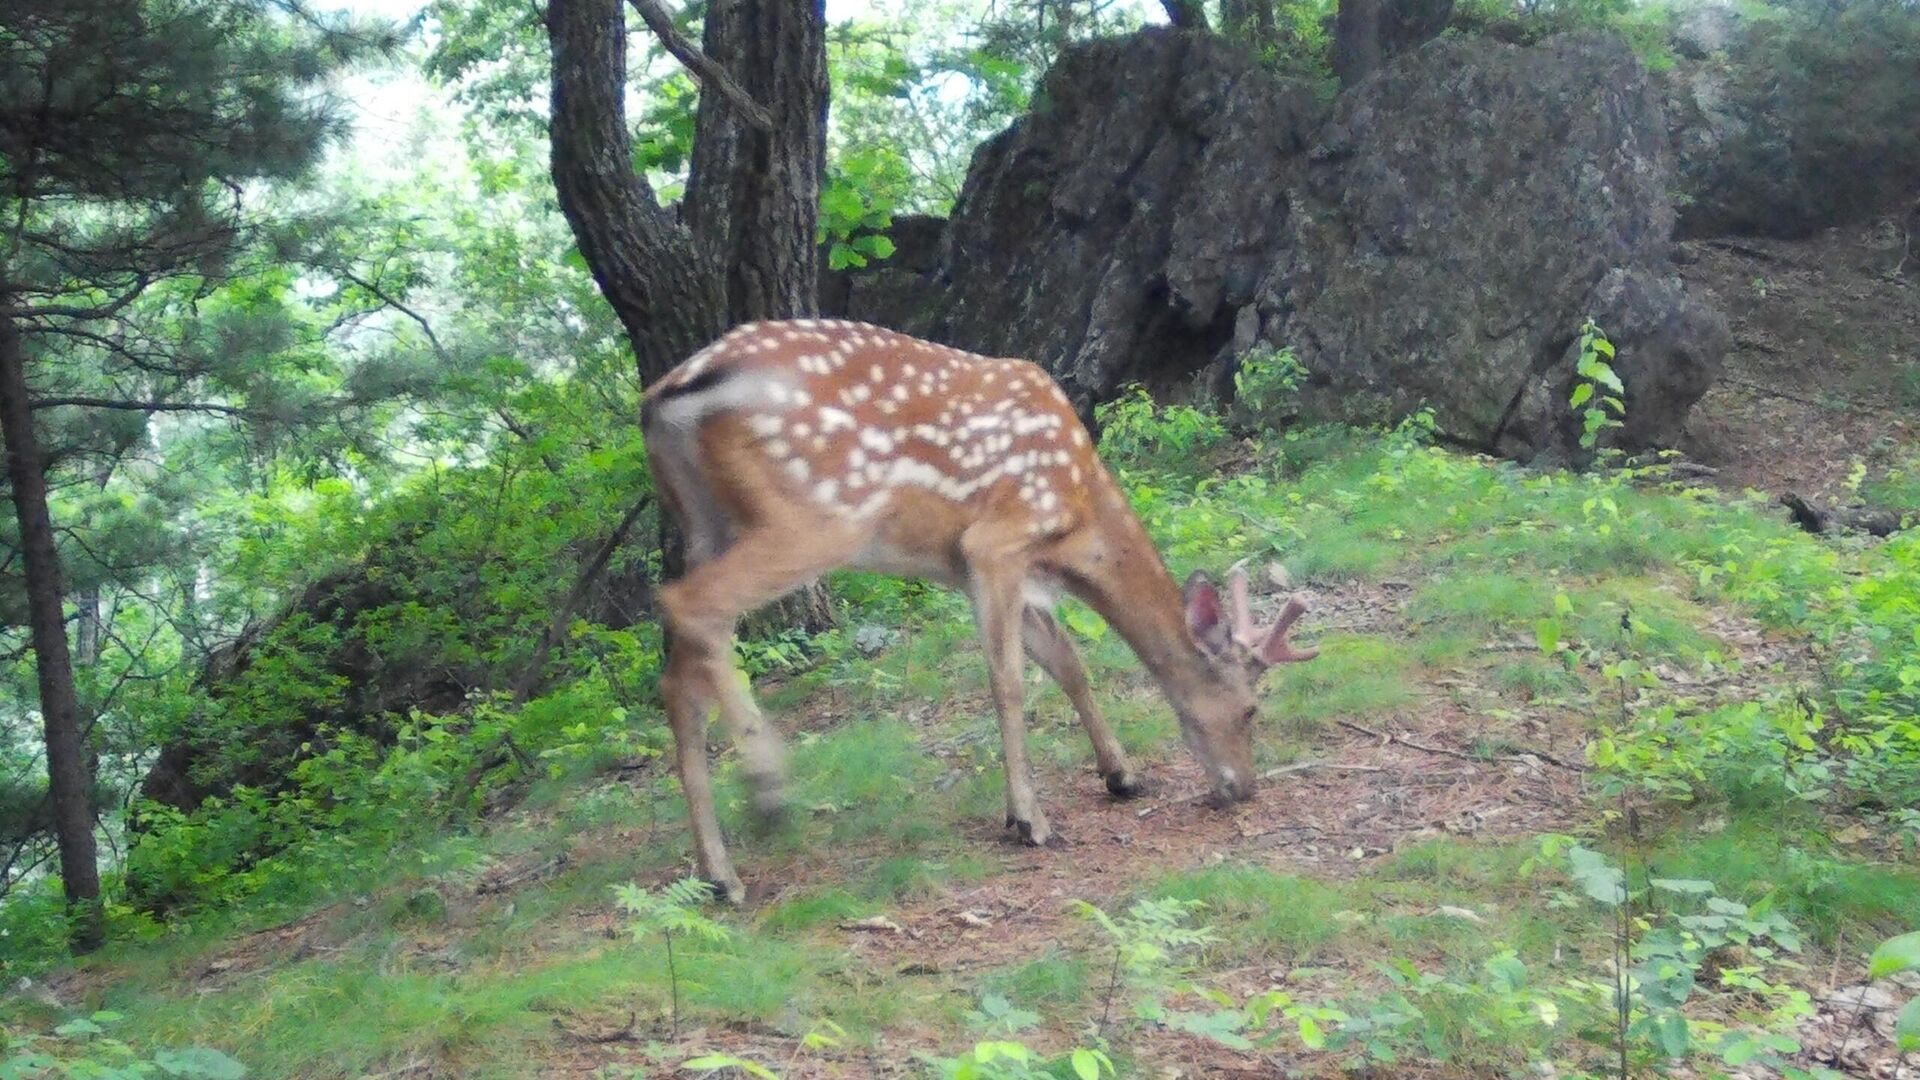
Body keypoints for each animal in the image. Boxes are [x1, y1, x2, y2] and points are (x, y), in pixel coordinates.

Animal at [637, 317, 1313, 899]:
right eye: (1250, 709)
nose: (1244, 789)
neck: (1079, 523)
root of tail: (666, 394)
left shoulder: (977, 570)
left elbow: (1068, 663)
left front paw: (1120, 774)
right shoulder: (997, 540)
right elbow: (1008, 680)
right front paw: (1028, 818)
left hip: (703, 522)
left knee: (678, 677)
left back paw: (720, 874)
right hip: (818, 515)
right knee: (689, 605)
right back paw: (768, 789)